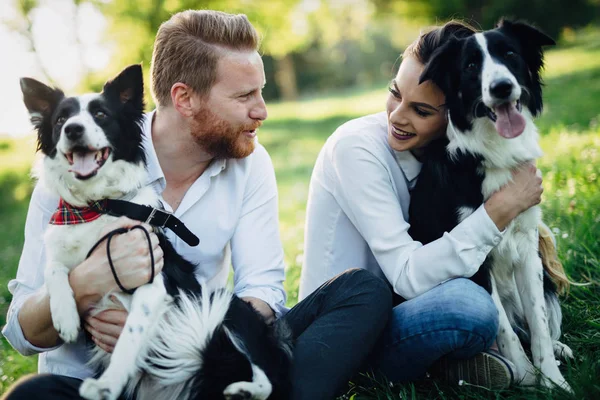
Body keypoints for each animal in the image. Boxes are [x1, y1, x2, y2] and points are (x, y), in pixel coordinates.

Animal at [22, 64, 294, 398]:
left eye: (100, 114)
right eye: (61, 119)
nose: (73, 129)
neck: (98, 205)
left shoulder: (153, 284)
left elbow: (129, 337)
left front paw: (107, 384)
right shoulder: (63, 248)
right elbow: (53, 271)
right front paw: (66, 318)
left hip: (228, 305)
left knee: (264, 376)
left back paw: (242, 388)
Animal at [408, 19, 572, 390]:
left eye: (509, 54)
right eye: (470, 66)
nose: (501, 87)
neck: (494, 151)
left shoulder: (527, 247)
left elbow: (538, 321)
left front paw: (552, 381)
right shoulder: (472, 255)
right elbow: (503, 327)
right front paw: (525, 377)